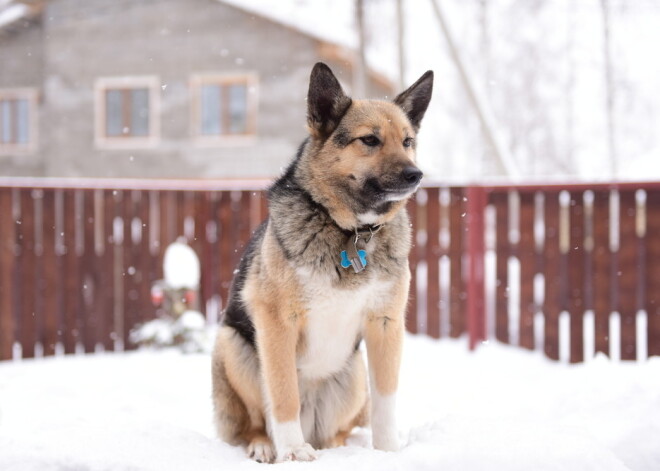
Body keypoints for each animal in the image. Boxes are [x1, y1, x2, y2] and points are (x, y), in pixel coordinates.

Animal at [211, 60, 434, 462]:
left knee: (338, 430)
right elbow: (283, 393)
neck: (353, 231)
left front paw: (389, 452)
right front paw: (293, 452)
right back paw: (265, 444)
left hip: (354, 375)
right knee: (255, 420)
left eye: (408, 141)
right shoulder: (276, 322)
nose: (415, 175)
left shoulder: (385, 323)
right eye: (370, 140)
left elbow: (386, 399)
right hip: (234, 347)